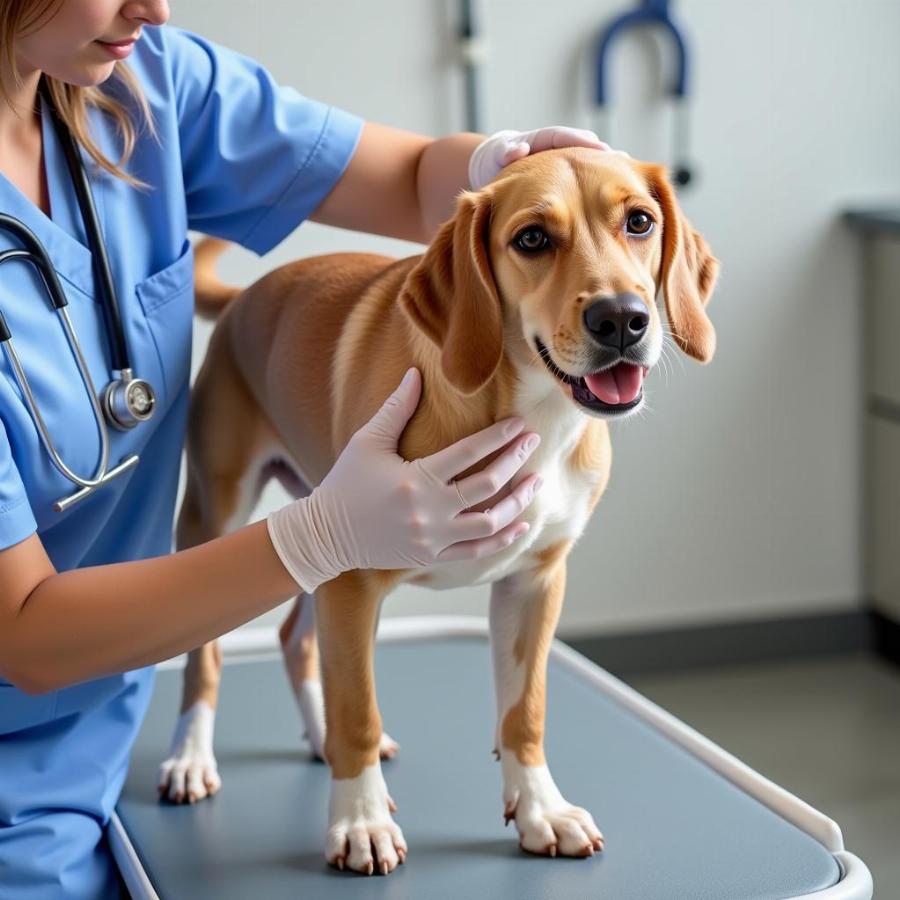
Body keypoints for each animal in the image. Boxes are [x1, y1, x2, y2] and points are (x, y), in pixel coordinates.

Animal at [158, 148, 720, 872]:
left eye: (640, 222)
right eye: (531, 239)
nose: (621, 319)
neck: (529, 412)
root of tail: (244, 299)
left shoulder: (534, 582)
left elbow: (524, 713)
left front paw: (540, 809)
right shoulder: (352, 579)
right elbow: (358, 712)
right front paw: (361, 821)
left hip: (320, 543)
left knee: (296, 639)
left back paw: (316, 734)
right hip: (225, 516)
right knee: (209, 657)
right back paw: (191, 757)